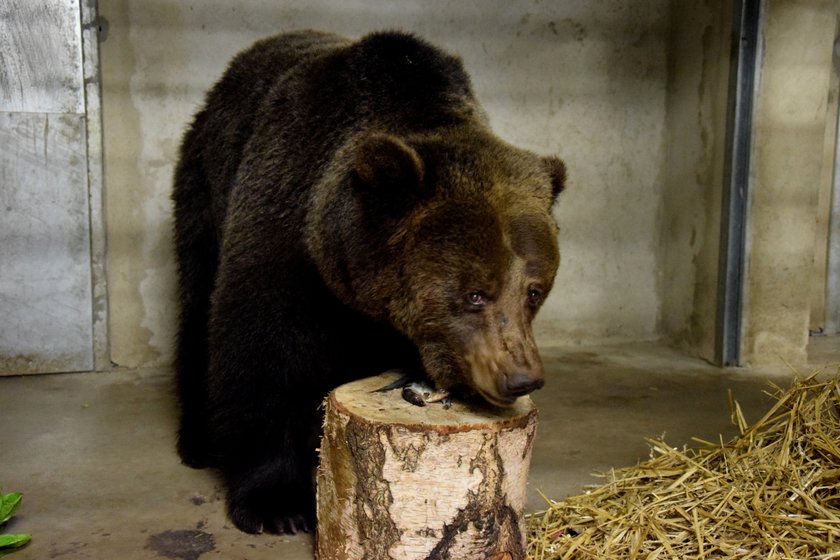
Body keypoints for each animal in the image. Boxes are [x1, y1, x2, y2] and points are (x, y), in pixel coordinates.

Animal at [171, 29, 564, 532]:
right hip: (205, 182)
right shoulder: (283, 230)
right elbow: (263, 354)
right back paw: (197, 441)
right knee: (197, 301)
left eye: (534, 291)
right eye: (477, 293)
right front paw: (276, 503)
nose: (521, 378)